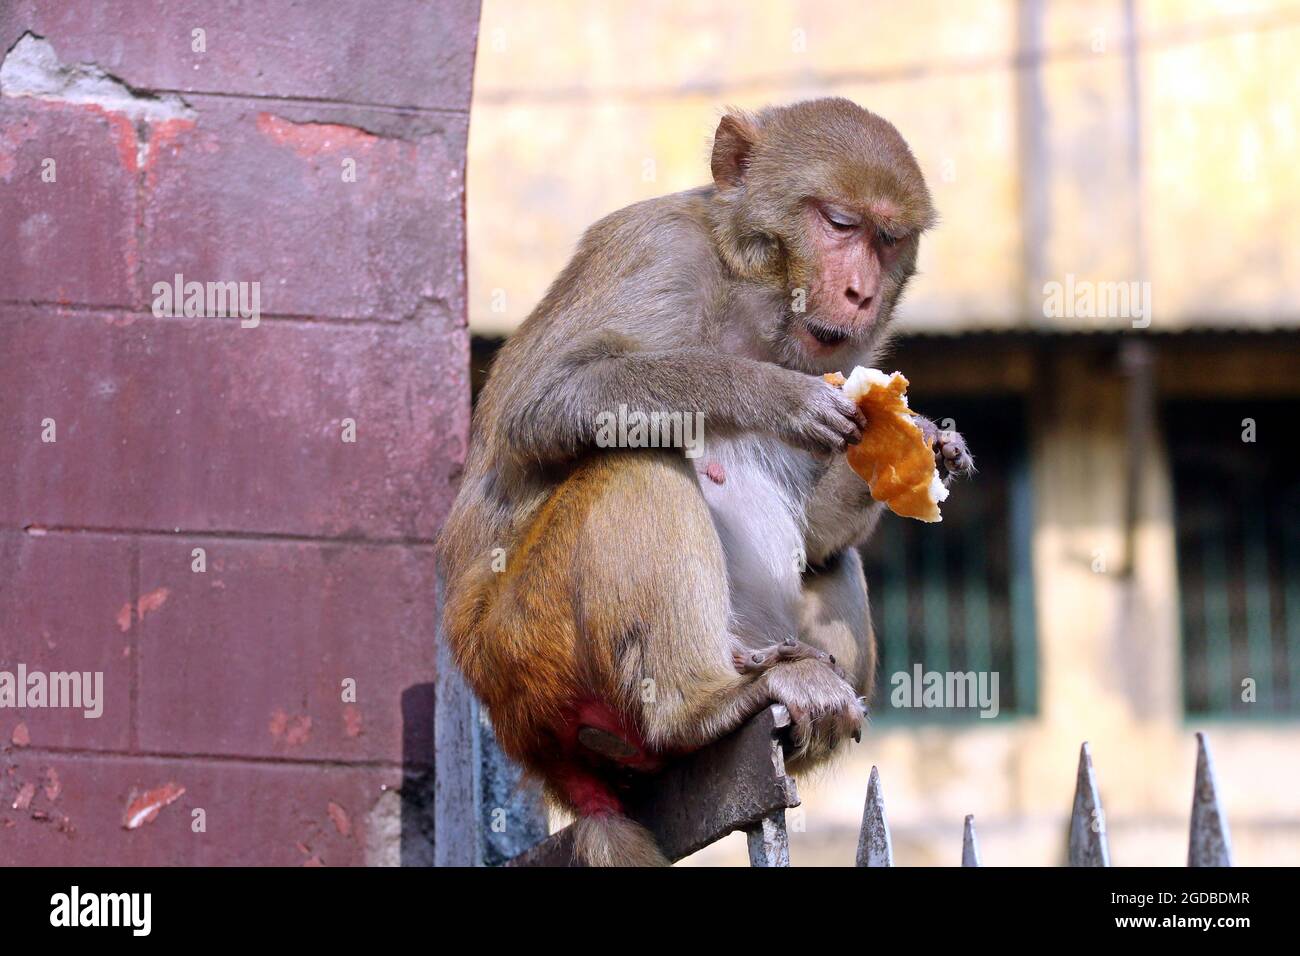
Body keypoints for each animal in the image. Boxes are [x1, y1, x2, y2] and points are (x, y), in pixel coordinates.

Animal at [439, 97, 977, 868]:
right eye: (839, 223)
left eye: (887, 238)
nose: (861, 293)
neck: (754, 299)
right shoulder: (654, 250)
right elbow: (541, 402)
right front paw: (766, 393)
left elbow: (818, 533)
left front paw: (921, 442)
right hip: (526, 645)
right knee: (635, 465)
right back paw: (696, 707)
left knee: (828, 559)